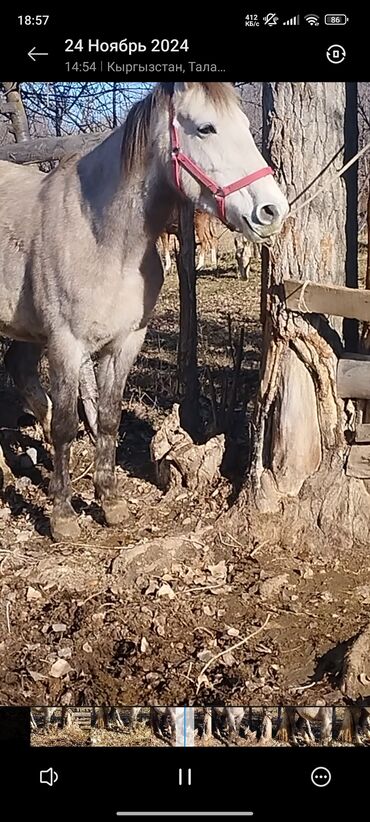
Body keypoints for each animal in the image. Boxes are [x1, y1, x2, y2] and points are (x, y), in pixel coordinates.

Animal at [0, 82, 290, 540]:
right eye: (205, 128)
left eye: (246, 125)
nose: (272, 210)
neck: (102, 237)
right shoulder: (66, 344)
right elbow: (66, 424)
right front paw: (63, 515)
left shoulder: (125, 343)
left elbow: (108, 418)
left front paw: (109, 501)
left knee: (20, 369)